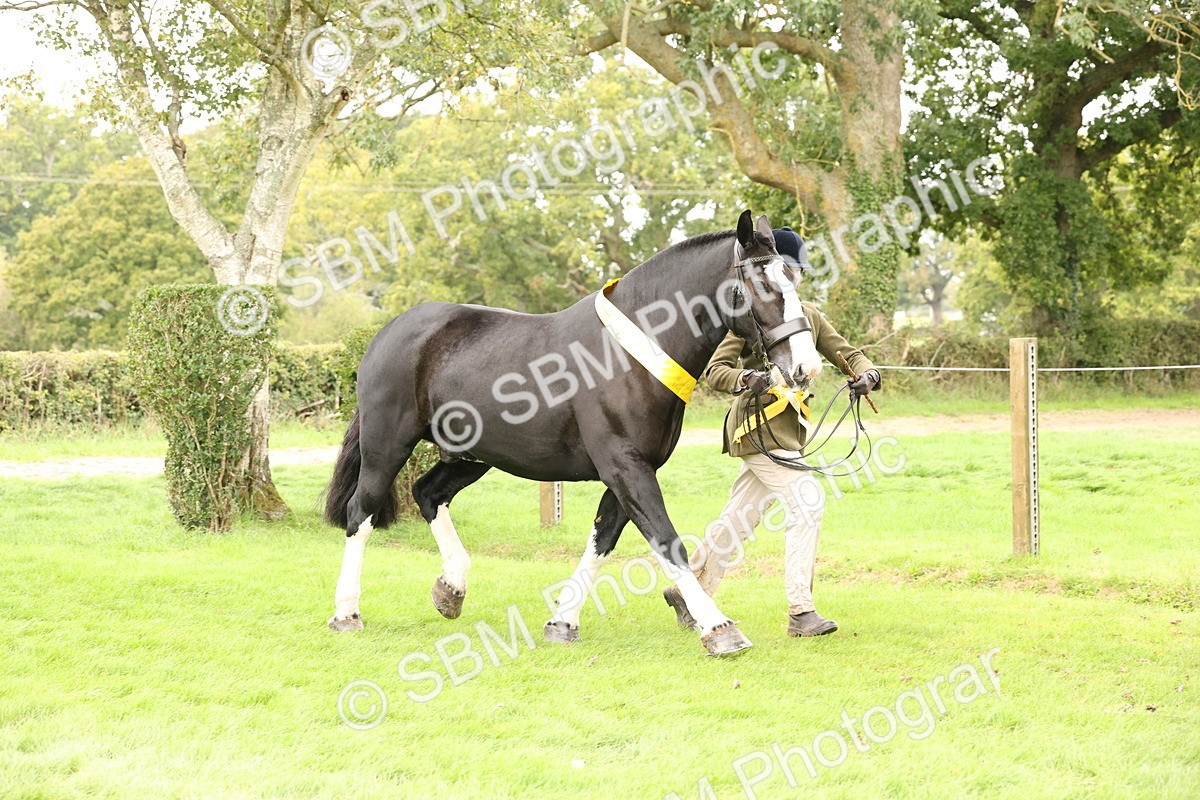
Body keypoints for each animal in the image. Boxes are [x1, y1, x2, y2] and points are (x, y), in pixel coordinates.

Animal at [322, 210, 825, 656]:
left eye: (793, 278)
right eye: (764, 282)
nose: (806, 366)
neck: (630, 355)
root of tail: (389, 332)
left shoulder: (627, 472)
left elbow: (603, 540)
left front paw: (562, 622)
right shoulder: (626, 468)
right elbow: (666, 541)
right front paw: (719, 629)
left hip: (472, 456)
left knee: (428, 494)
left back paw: (452, 589)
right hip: (386, 446)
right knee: (360, 512)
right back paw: (346, 613)